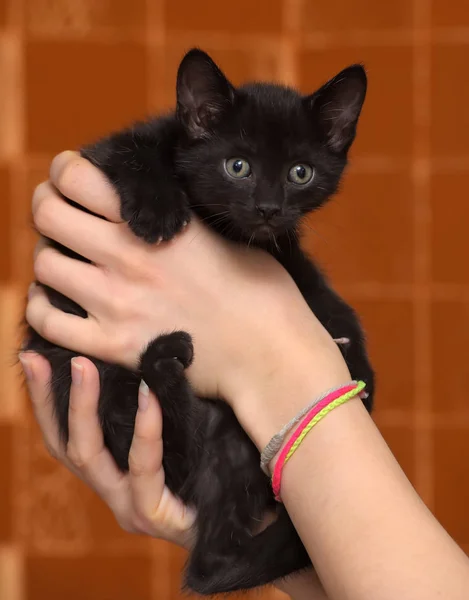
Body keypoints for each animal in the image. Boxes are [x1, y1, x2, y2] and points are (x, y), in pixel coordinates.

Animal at [23, 49, 374, 592]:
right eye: (238, 166)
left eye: (300, 173)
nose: (268, 208)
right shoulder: (101, 161)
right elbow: (130, 154)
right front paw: (157, 209)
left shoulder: (284, 248)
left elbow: (309, 281)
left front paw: (351, 352)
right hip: (96, 376)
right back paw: (165, 362)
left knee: (209, 549)